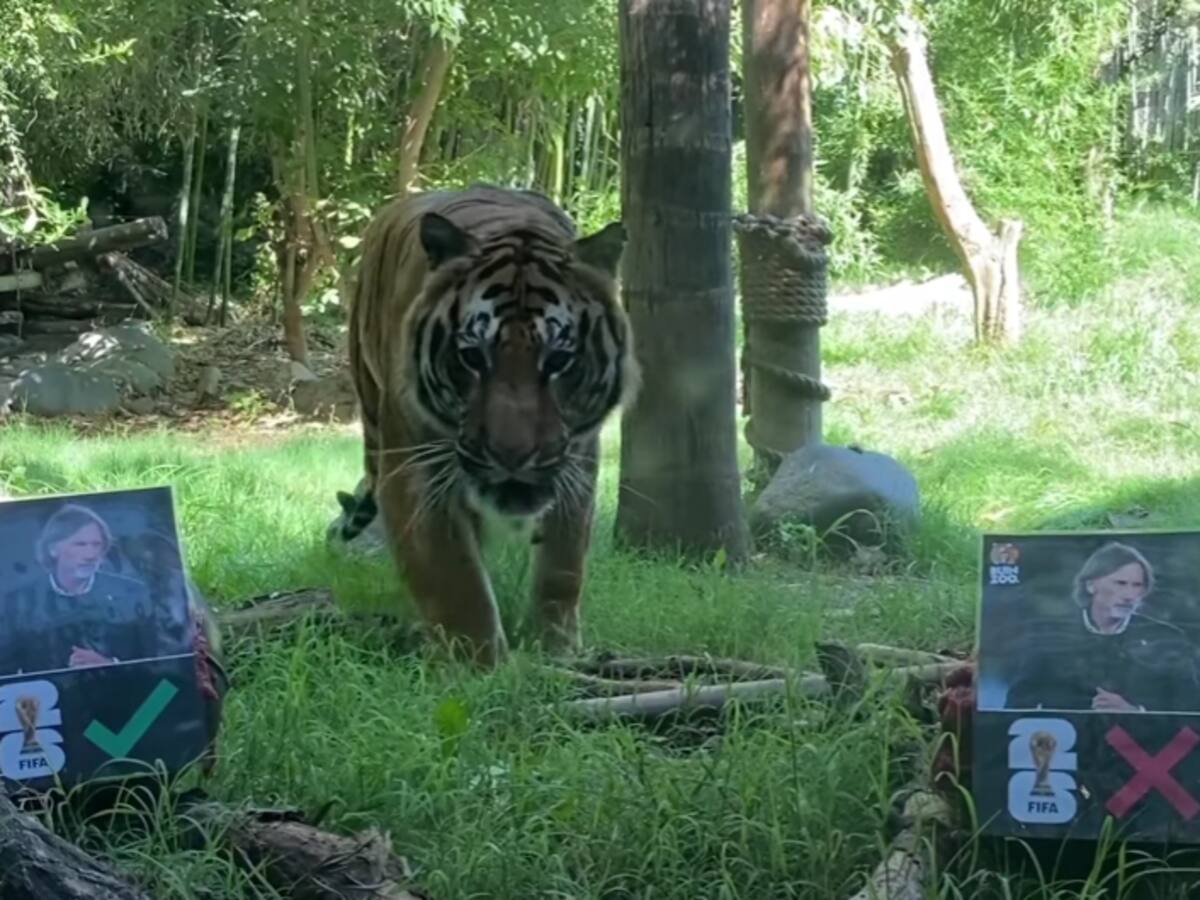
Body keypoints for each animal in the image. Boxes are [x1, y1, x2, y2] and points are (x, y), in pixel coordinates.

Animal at [340, 183, 639, 667]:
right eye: (472, 357)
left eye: (559, 360)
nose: (511, 455)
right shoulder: (415, 466)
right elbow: (453, 574)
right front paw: (479, 664)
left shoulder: (577, 461)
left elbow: (564, 563)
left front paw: (555, 648)